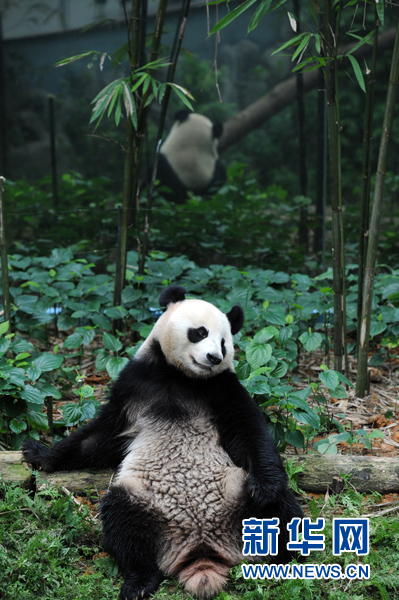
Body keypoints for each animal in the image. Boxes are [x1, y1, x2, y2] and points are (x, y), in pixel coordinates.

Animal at [22, 286, 304, 600]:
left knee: (284, 514)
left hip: (237, 492)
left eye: (224, 342)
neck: (181, 377)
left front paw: (264, 487)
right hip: (144, 500)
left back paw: (287, 560)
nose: (214, 358)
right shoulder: (134, 386)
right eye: (200, 332)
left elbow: (249, 431)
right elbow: (100, 437)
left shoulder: (222, 387)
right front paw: (39, 453)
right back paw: (139, 582)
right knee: (124, 526)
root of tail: (202, 548)